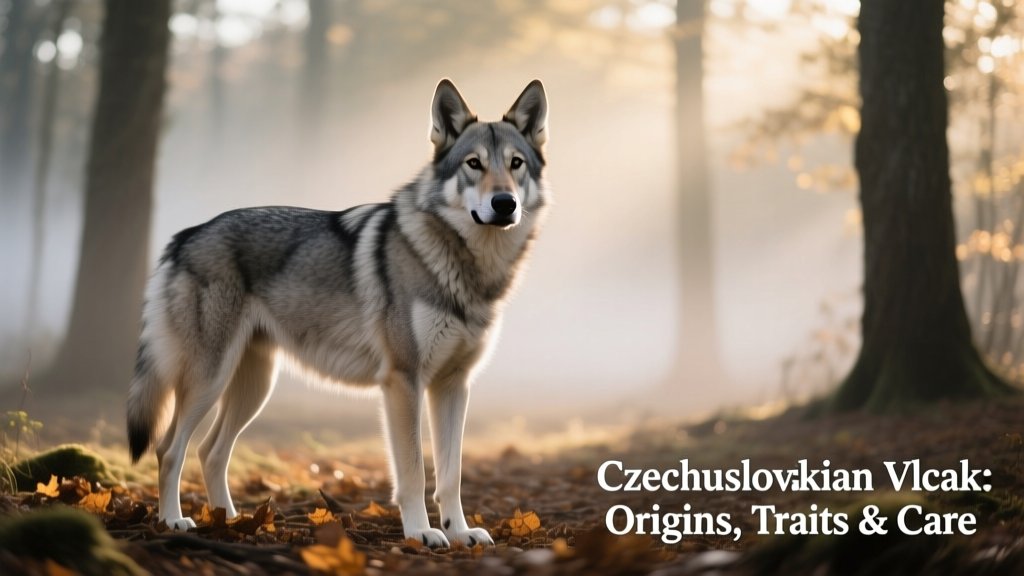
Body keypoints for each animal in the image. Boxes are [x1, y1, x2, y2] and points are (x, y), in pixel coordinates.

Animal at [126, 79, 550, 547]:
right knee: (169, 449)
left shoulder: (453, 385)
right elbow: (414, 472)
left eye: (515, 164)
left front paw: (459, 532)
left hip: (254, 387)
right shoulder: (403, 382)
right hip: (209, 380)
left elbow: (451, 474)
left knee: (210, 451)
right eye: (474, 164)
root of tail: (185, 235)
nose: (504, 203)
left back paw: (231, 523)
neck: (466, 267)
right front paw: (421, 533)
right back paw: (174, 521)